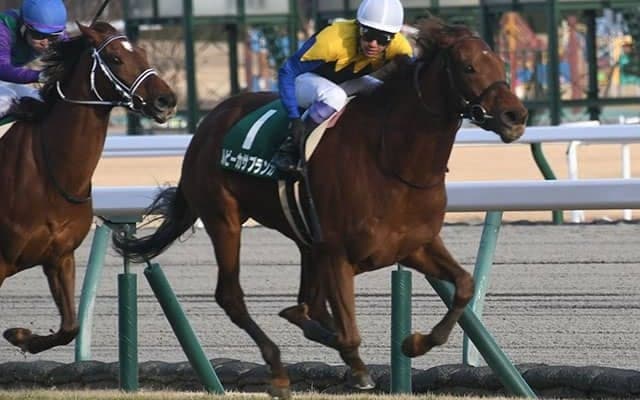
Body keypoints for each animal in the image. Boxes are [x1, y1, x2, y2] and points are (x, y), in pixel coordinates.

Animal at [0, 21, 176, 354]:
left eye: (143, 51)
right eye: (116, 58)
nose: (166, 100)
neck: (48, 176)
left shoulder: (60, 257)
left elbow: (71, 327)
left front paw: (20, 336)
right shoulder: (1, 262)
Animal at [112, 17, 527, 399]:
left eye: (501, 64)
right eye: (468, 67)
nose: (516, 116)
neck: (392, 161)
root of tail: (210, 120)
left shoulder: (413, 245)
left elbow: (464, 286)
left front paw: (414, 342)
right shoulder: (338, 253)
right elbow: (346, 331)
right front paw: (356, 367)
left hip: (303, 239)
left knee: (304, 300)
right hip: (223, 218)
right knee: (231, 296)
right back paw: (279, 371)